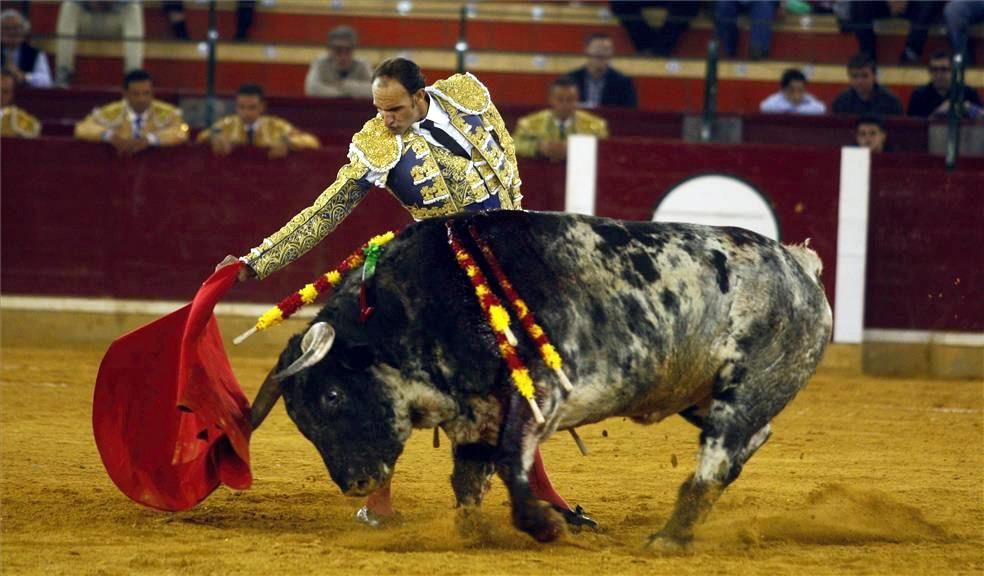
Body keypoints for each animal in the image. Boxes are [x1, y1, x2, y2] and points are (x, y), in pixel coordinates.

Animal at [248, 210, 832, 548]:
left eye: (332, 394)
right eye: (300, 419)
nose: (355, 483)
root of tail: (798, 266)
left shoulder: (540, 394)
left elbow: (512, 462)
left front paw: (542, 525)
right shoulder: (475, 414)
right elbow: (468, 479)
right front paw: (471, 534)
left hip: (744, 388)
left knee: (718, 456)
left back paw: (669, 538)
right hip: (703, 394)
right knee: (748, 440)